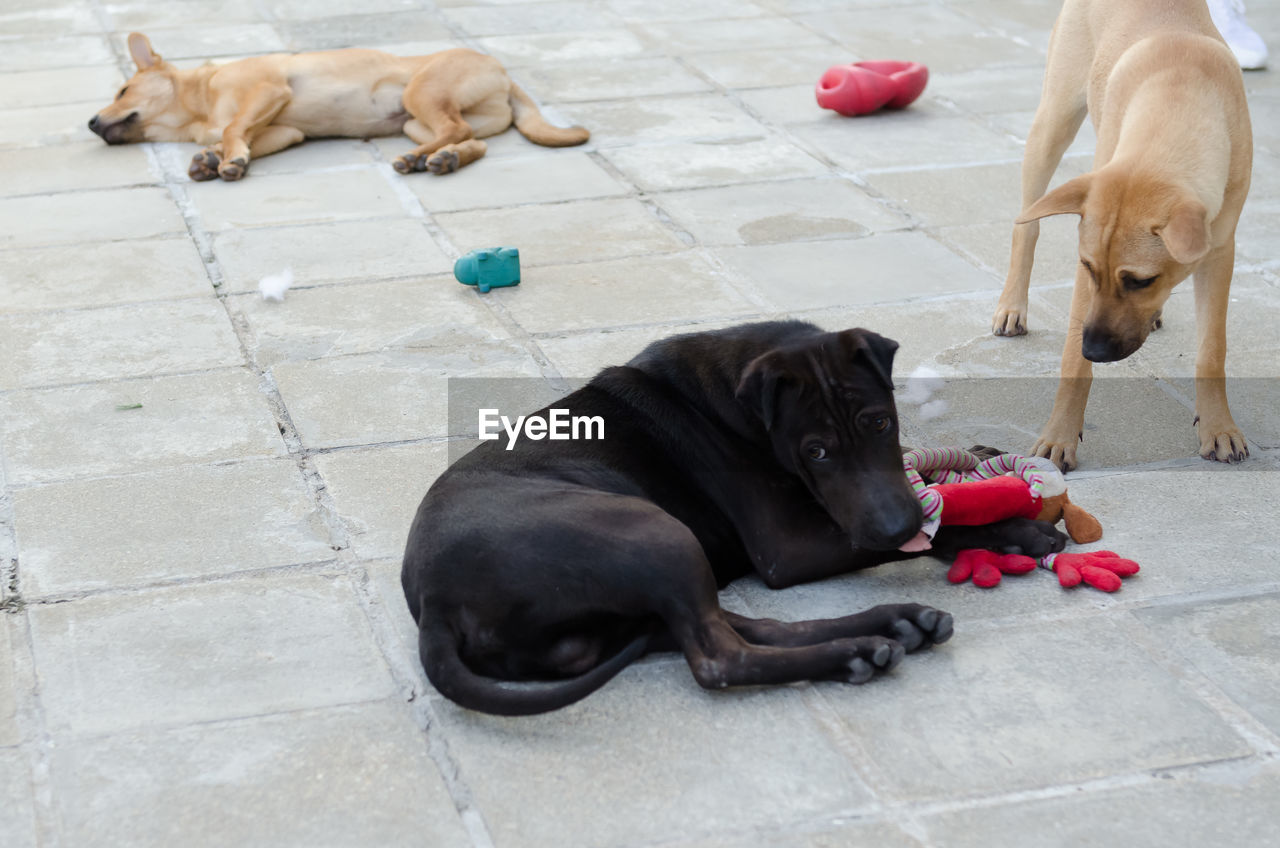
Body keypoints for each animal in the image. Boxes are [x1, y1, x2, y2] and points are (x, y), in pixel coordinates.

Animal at [90, 32, 588, 180]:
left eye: (121, 91)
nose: (92, 123)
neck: (198, 107)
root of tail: (503, 71)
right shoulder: (283, 130)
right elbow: (240, 136)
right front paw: (213, 158)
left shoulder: (268, 91)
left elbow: (234, 130)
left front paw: (226, 158)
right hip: (415, 121)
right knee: (470, 140)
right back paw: (440, 159)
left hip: (421, 93)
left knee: (456, 130)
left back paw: (423, 159)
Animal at [404, 322, 1064, 712]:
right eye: (815, 451)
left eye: (880, 421)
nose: (893, 527)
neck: (733, 396)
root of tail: (435, 604)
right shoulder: (789, 546)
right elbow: (938, 523)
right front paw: (1012, 527)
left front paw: (978, 466)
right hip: (650, 532)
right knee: (720, 656)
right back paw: (854, 650)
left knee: (741, 625)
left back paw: (892, 626)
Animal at [988, 0, 1249, 471]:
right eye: (1089, 268)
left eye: (1142, 281)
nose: (1095, 349)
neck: (1177, 100)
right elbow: (1071, 363)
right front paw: (1059, 437)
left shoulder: (1220, 250)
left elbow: (1212, 349)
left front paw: (1219, 426)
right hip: (1052, 121)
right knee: (1027, 226)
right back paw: (1012, 307)